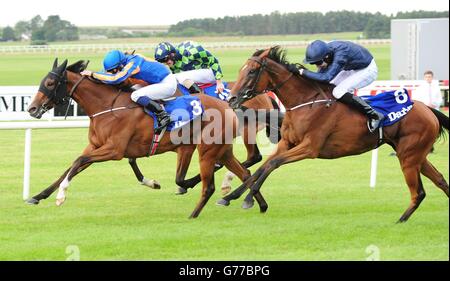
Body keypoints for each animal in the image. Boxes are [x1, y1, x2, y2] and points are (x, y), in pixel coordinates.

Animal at [25, 58, 268, 218]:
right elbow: (71, 167)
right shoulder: (95, 146)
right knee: (245, 172)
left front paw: (61, 196)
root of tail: (227, 105)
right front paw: (38, 195)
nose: (32, 108)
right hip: (221, 149)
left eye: (49, 83)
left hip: (208, 148)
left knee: (221, 176)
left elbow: (78, 162)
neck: (107, 106)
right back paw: (257, 204)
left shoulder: (114, 150)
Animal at [217, 45, 446, 221]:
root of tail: (428, 109)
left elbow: (272, 163)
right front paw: (230, 197)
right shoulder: (287, 143)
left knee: (419, 192)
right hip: (414, 155)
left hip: (408, 156)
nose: (232, 98)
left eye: (251, 72)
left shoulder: (309, 148)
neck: (305, 103)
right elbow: (261, 167)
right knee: (440, 180)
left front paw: (248, 199)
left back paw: (401, 220)